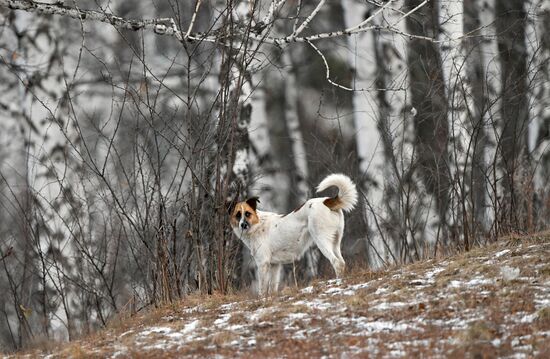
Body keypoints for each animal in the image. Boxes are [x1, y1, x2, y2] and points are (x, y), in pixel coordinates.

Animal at [227, 174, 358, 296]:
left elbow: (263, 289)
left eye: (247, 214)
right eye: (238, 215)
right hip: (335, 242)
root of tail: (326, 201)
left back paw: (338, 283)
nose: (243, 225)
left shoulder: (263, 264)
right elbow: (273, 287)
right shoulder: (275, 265)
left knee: (337, 263)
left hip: (321, 240)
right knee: (342, 262)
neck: (257, 224)